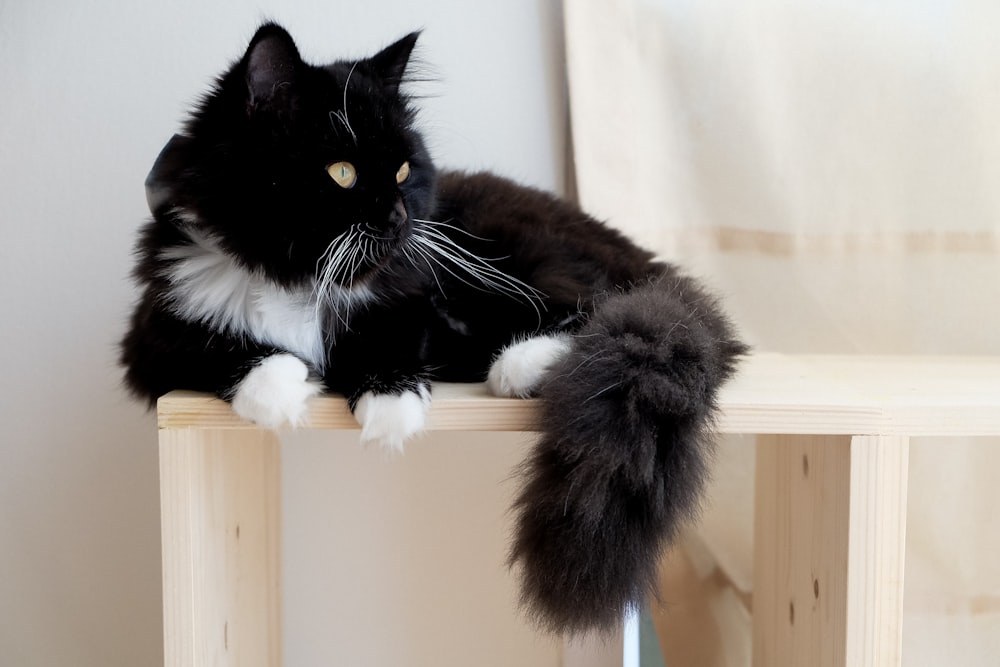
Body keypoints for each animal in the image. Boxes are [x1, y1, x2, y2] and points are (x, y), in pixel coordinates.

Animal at [121, 22, 748, 636]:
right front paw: (280, 392)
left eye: (402, 170)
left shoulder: (411, 302)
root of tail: (647, 259)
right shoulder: (152, 333)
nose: (400, 218)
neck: (298, 279)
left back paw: (522, 367)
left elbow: (385, 344)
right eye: (342, 172)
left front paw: (389, 406)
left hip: (512, 257)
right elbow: (217, 348)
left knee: (597, 311)